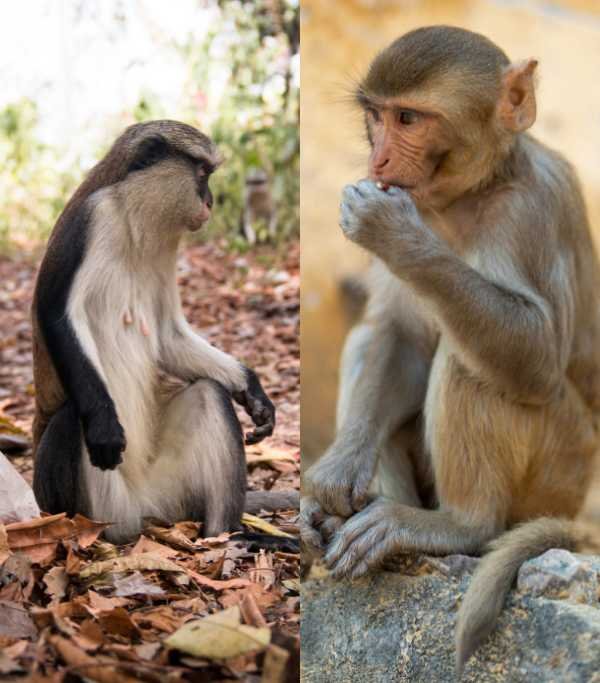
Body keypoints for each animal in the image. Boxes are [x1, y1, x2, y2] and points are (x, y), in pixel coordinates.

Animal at [31, 120, 298, 545]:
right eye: (202, 174)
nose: (211, 202)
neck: (131, 215)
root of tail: (144, 511)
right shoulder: (91, 220)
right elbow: (56, 315)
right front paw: (104, 424)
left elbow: (168, 336)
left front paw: (252, 390)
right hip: (88, 506)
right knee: (72, 418)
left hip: (170, 492)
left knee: (209, 394)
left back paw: (228, 535)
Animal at [301, 26, 600, 675]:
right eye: (376, 116)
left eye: (409, 118)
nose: (378, 161)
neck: (468, 196)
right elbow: (397, 334)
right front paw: (337, 473)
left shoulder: (531, 208)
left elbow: (536, 359)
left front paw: (394, 234)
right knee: (374, 342)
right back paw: (362, 521)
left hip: (559, 470)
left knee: (472, 364)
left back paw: (459, 527)